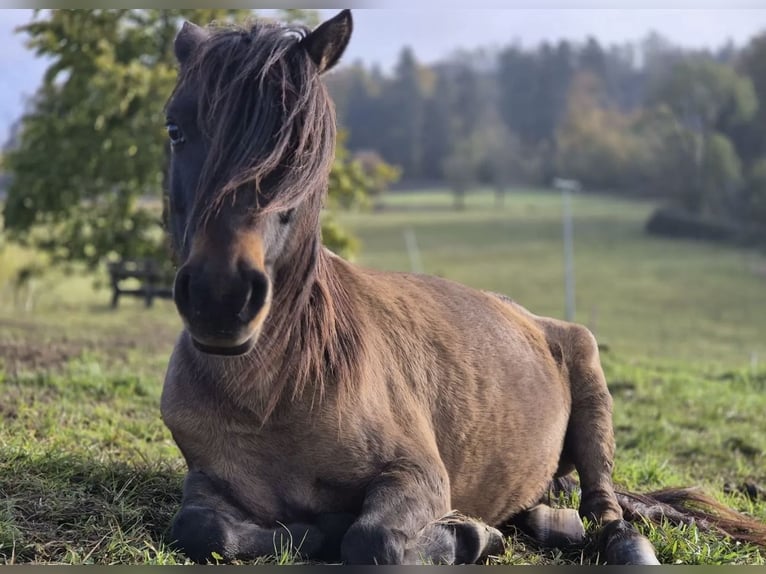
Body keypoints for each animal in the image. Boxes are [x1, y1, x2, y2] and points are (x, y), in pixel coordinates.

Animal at [162, 9, 766, 568]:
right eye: (175, 129)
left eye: (302, 142)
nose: (221, 295)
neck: (274, 393)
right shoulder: (206, 479)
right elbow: (202, 529)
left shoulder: (418, 475)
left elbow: (372, 539)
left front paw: (468, 536)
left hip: (592, 387)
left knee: (605, 509)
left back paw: (614, 544)